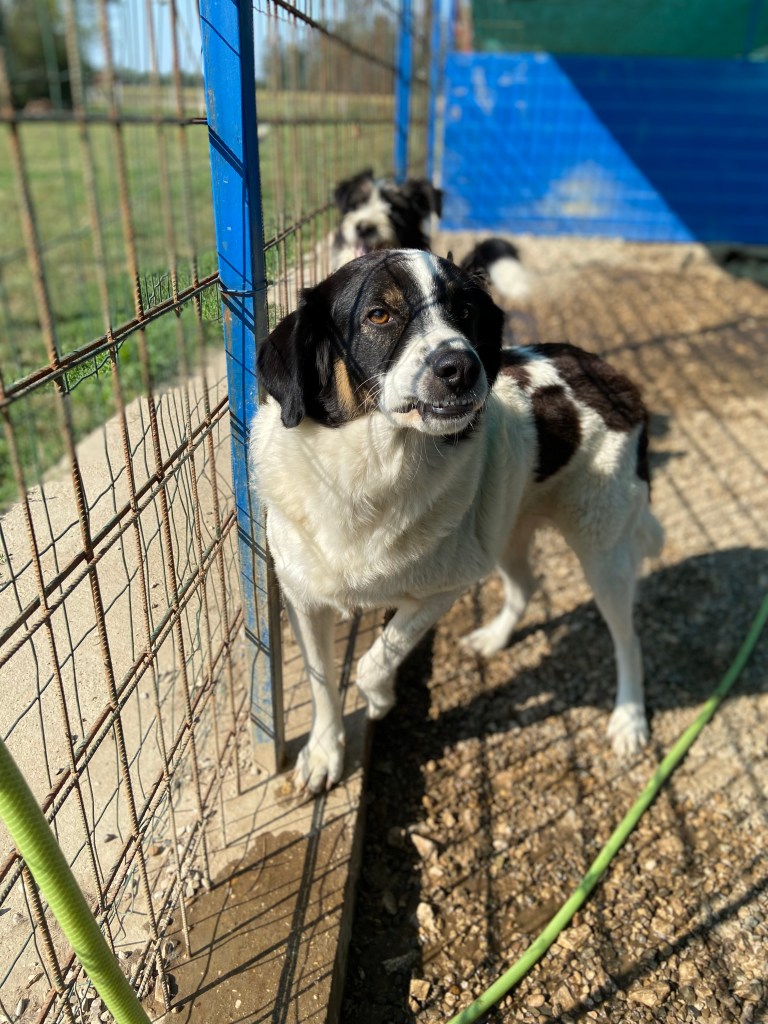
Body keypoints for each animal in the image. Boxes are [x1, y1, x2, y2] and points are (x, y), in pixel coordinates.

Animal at [252, 250, 663, 793]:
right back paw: (494, 638)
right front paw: (324, 753)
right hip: (504, 528)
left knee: (628, 638)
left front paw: (380, 701)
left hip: (602, 552)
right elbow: (322, 683)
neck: (367, 473)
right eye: (378, 314)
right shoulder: (304, 601)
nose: (462, 367)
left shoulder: (439, 591)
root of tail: (610, 373)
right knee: (527, 584)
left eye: (464, 313)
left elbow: (373, 661)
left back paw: (629, 718)